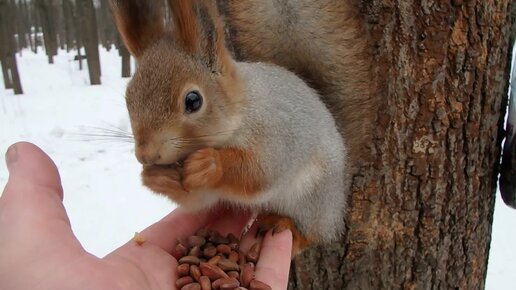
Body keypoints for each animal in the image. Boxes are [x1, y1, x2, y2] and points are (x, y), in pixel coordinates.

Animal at [110, 0, 370, 255]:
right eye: (128, 98)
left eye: (193, 101)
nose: (145, 155)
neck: (240, 112)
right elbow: (199, 200)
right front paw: (156, 177)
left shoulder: (275, 132)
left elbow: (261, 171)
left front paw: (209, 163)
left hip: (312, 199)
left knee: (315, 234)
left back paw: (288, 229)